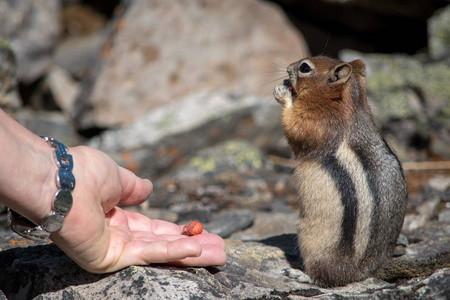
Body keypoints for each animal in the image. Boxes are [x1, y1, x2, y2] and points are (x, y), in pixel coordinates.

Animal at [274, 56, 450, 288]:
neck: (350, 102)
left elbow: (294, 126)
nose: (287, 69)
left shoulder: (317, 123)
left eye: (304, 67)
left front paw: (282, 94)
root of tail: (367, 271)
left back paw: (300, 274)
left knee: (329, 278)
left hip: (315, 246)